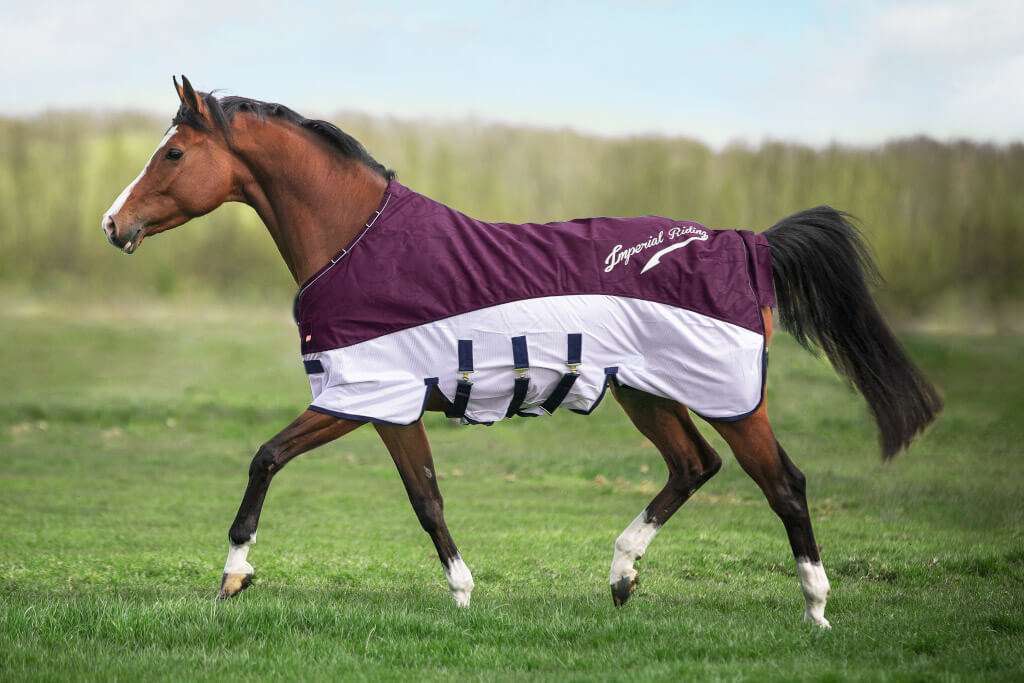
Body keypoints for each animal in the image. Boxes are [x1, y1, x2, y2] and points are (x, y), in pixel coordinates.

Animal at [100, 76, 942, 628]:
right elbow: (424, 496)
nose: (113, 224)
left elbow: (271, 458)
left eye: (172, 154)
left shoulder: (359, 396)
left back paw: (815, 605)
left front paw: (234, 574)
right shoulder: (390, 409)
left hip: (731, 397)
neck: (362, 243)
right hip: (647, 391)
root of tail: (748, 242)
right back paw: (622, 573)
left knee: (784, 484)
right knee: (693, 465)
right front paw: (463, 590)